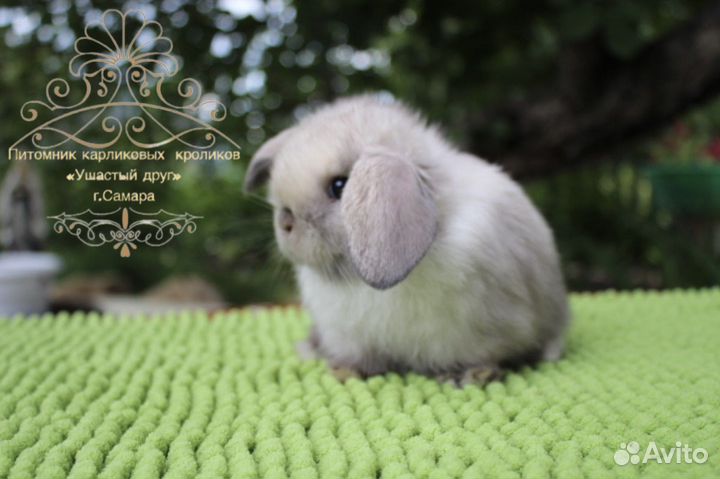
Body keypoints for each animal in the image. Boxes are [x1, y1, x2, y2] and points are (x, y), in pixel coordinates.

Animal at [244, 94, 570, 385]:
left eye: (339, 186)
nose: (286, 220)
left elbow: (485, 355)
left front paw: (469, 375)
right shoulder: (347, 334)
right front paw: (345, 370)